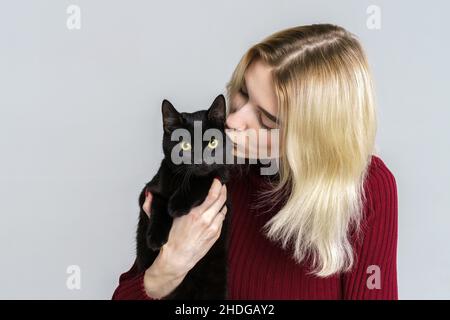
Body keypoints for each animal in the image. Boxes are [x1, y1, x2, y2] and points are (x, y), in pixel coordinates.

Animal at [135, 94, 234, 298]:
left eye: (213, 142)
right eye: (185, 145)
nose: (201, 161)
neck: (182, 181)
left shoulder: (220, 176)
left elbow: (203, 179)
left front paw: (177, 204)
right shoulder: (149, 191)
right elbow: (159, 203)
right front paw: (155, 238)